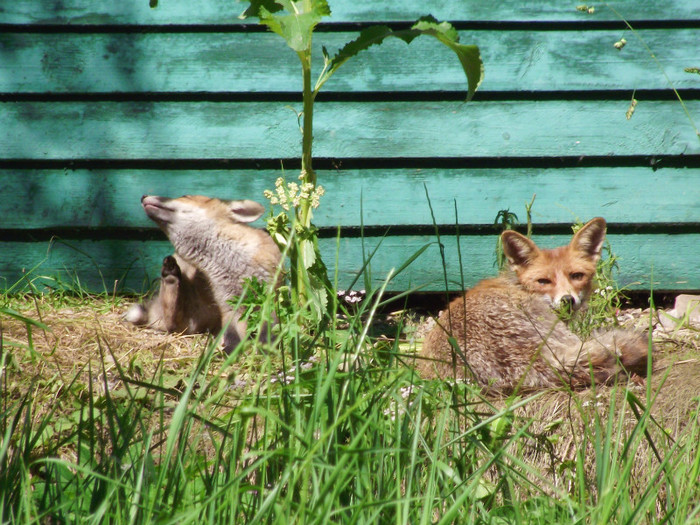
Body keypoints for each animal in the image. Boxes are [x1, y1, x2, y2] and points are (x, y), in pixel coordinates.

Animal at [126, 194, 282, 350]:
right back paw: (171, 276)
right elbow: (232, 337)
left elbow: (269, 332)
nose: (143, 196)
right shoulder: (228, 305)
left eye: (185, 196)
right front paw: (228, 352)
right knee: (172, 323)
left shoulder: (268, 296)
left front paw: (269, 349)